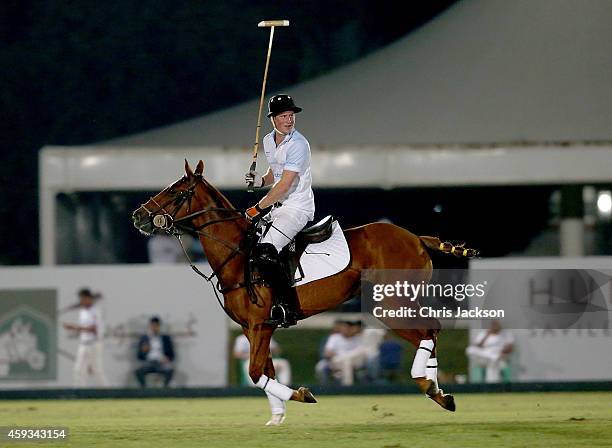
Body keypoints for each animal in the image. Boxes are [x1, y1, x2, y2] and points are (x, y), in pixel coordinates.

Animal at [131, 161, 470, 424]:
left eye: (175, 191)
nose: (138, 216)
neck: (238, 254)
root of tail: (416, 237)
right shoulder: (253, 328)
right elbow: (265, 371)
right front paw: (277, 416)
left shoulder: (260, 324)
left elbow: (256, 373)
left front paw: (302, 395)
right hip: (395, 301)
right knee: (431, 330)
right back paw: (439, 393)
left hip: (390, 302)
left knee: (430, 329)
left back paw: (427, 384)